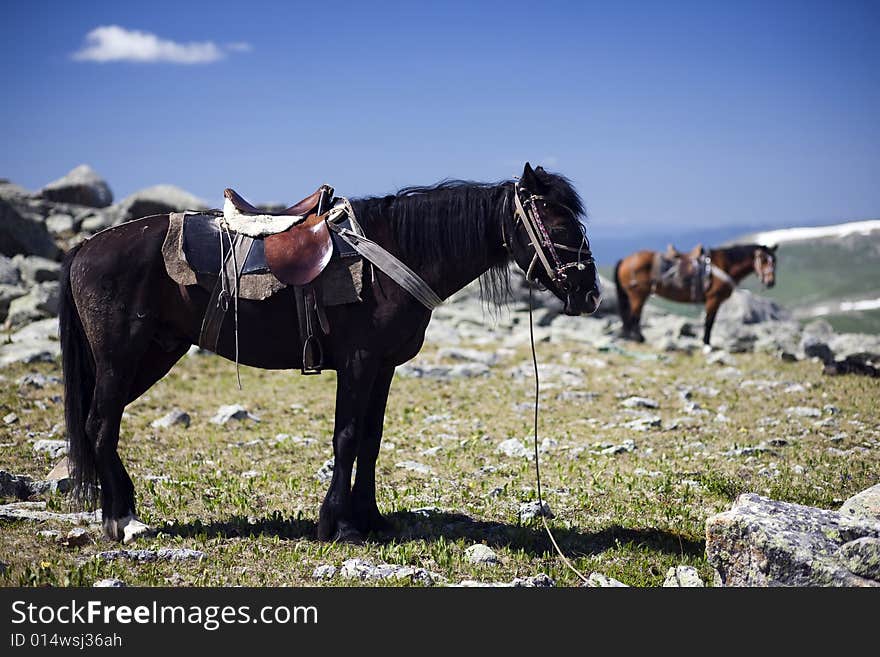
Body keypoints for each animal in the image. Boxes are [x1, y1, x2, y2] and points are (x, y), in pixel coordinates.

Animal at [612, 241, 776, 344]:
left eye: (774, 261)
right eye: (763, 260)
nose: (771, 282)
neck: (725, 266)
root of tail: (625, 260)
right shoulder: (713, 299)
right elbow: (709, 322)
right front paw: (706, 343)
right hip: (637, 295)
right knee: (634, 317)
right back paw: (638, 338)